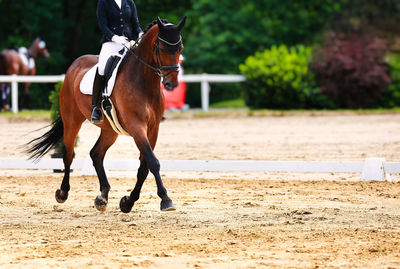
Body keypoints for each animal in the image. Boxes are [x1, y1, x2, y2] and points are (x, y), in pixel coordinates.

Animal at [26, 16, 186, 213]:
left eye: (180, 48)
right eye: (162, 48)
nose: (172, 84)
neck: (144, 82)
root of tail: (74, 64)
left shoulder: (153, 129)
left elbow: (144, 166)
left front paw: (127, 202)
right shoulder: (136, 126)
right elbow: (152, 162)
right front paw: (165, 199)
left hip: (110, 130)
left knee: (96, 154)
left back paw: (102, 196)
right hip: (72, 120)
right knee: (68, 154)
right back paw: (63, 193)